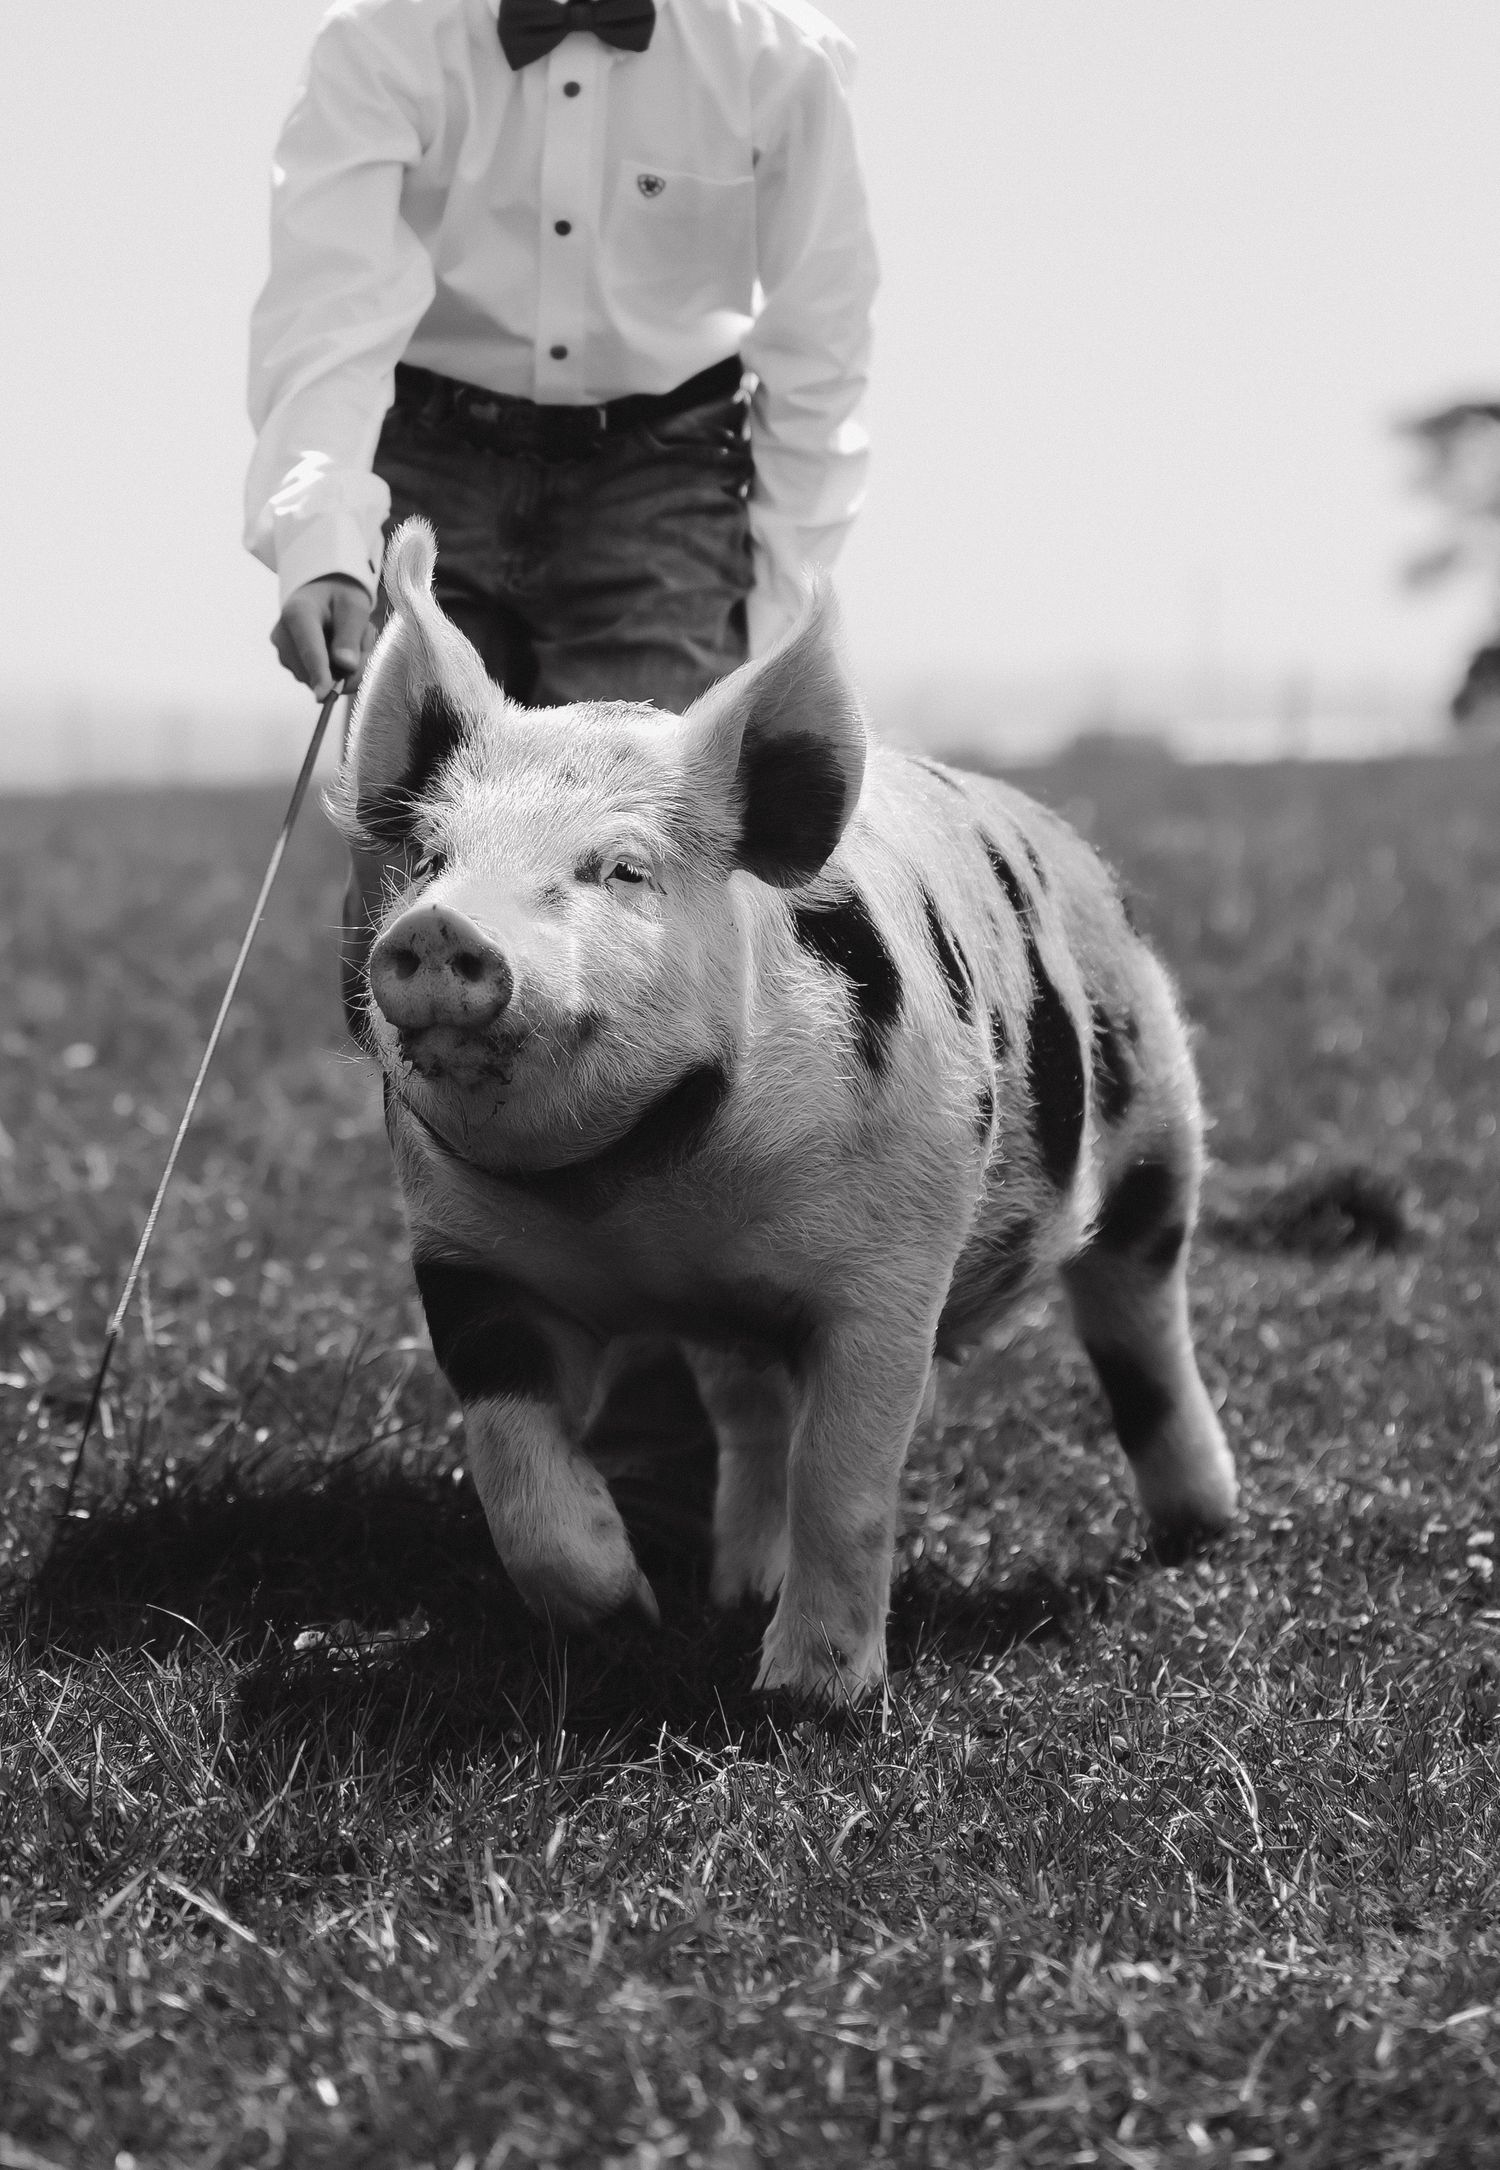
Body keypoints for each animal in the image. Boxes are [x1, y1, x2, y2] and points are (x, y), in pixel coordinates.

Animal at [332, 517, 1237, 1703]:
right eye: (433, 858)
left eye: (622, 869)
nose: (440, 928)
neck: (641, 1203)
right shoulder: (464, 1257)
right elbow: (513, 1465)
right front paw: (623, 1612)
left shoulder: (890, 1268)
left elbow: (845, 1477)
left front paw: (808, 1696)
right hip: (743, 1334)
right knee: (755, 1422)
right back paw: (734, 1588)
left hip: (1157, 1141)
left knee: (1145, 1327)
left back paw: (1204, 1530)